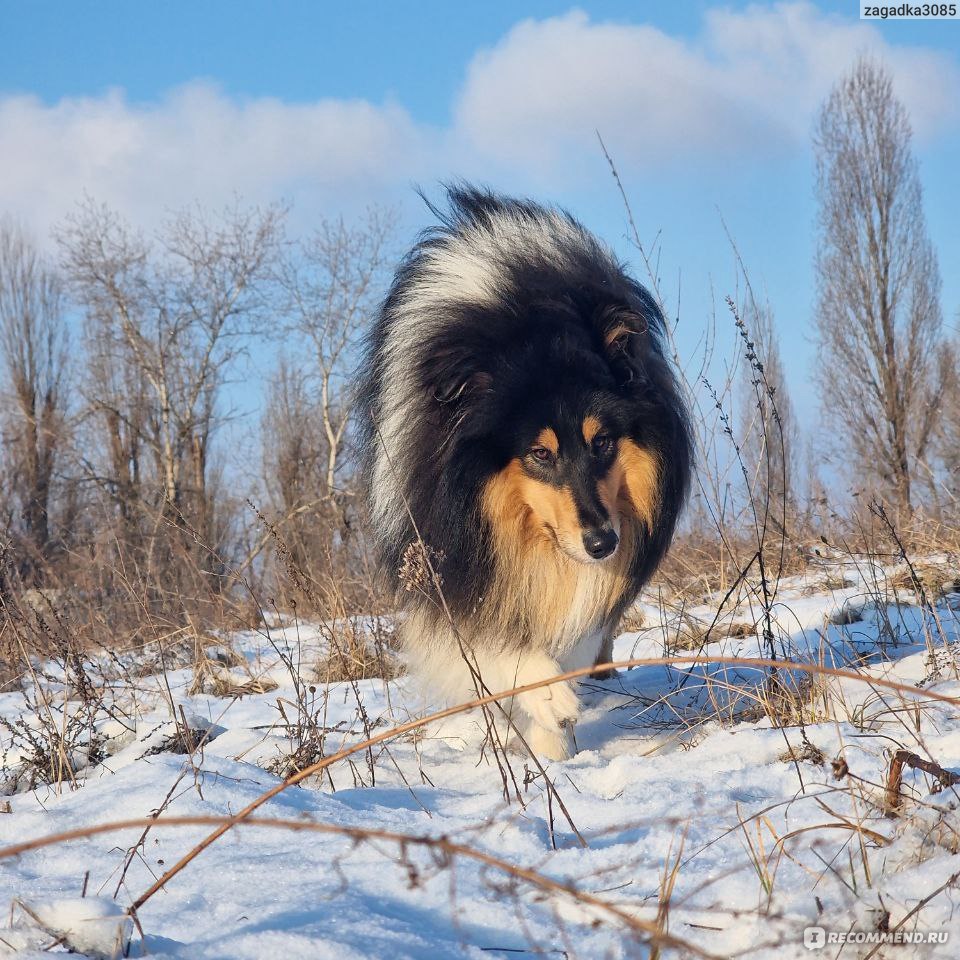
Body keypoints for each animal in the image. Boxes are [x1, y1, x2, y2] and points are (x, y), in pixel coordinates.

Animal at [358, 186, 688, 756]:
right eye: (539, 453)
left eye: (603, 442)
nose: (603, 544)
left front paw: (555, 748)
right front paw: (543, 696)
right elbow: (484, 633)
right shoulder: (448, 558)